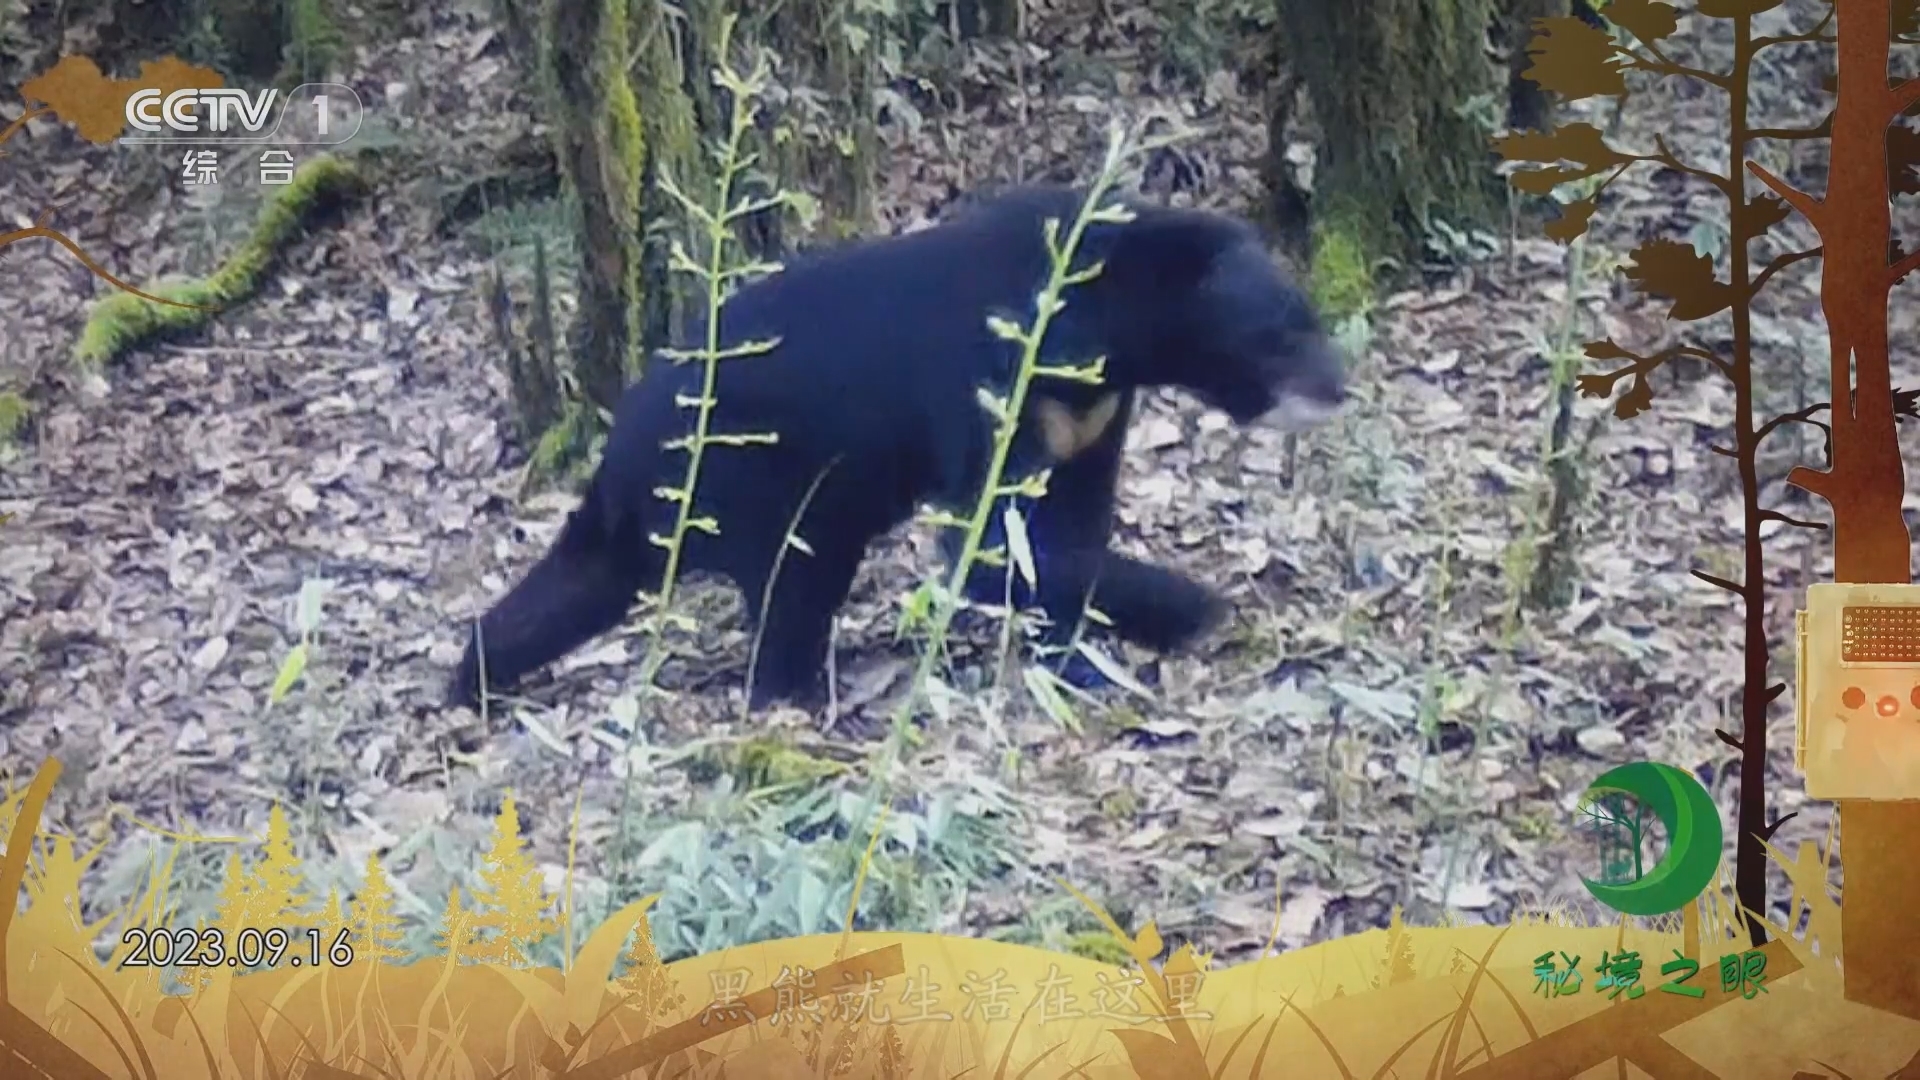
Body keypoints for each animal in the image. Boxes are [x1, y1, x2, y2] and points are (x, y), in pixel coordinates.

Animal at [446, 184, 1347, 713]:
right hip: (757, 476)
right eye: (1279, 333)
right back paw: (799, 698)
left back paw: (470, 678)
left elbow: (1067, 527)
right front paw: (1197, 610)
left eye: (1306, 316)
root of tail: (621, 447)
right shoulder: (997, 379)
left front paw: (1082, 653)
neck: (1099, 333)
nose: (1342, 385)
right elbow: (995, 541)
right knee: (790, 589)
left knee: (582, 584)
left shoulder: (1090, 411)